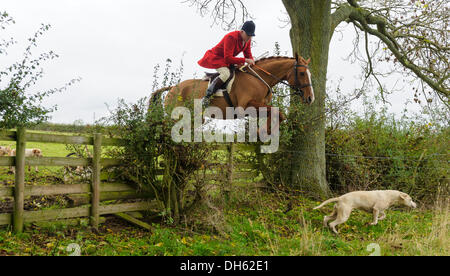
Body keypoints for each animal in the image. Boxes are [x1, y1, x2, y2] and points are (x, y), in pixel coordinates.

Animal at [149, 54, 314, 135]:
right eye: (301, 73)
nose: (310, 98)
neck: (259, 78)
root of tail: (173, 88)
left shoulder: (261, 105)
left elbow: (278, 114)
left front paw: (266, 130)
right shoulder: (245, 107)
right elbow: (276, 111)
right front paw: (262, 131)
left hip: (196, 118)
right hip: (178, 115)